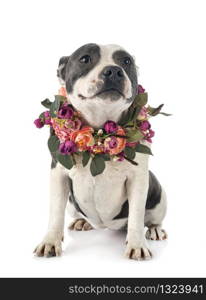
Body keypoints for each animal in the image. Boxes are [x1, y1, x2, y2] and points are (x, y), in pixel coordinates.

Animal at [34, 42, 167, 260]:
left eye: (126, 61)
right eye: (85, 59)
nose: (113, 70)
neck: (100, 133)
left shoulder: (138, 181)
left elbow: (136, 216)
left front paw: (137, 244)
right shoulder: (59, 175)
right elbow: (55, 214)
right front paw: (50, 241)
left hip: (157, 194)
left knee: (150, 218)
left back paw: (154, 229)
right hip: (72, 204)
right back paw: (83, 221)